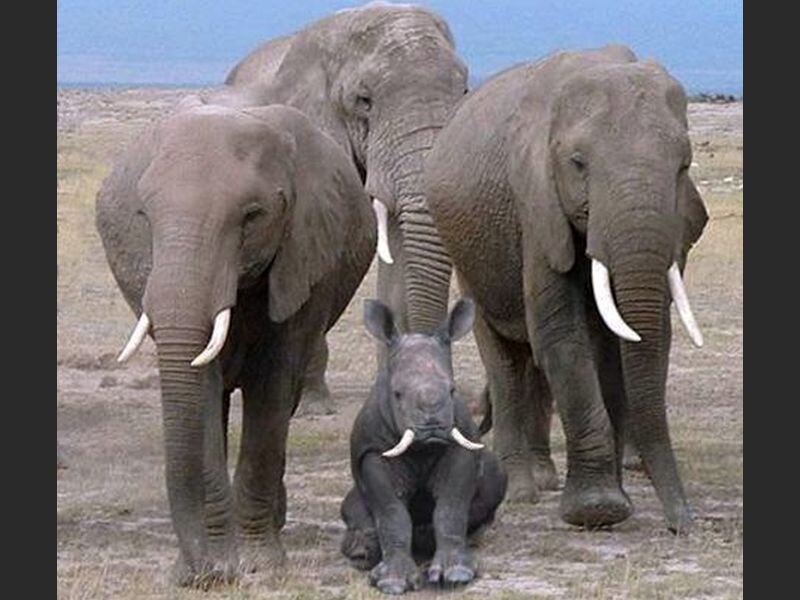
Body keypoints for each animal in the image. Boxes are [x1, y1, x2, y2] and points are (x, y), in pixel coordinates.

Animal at [95, 98, 376, 586]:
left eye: (252, 217)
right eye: (144, 218)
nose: (198, 573)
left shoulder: (302, 257)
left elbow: (271, 388)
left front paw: (260, 566)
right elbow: (202, 390)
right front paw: (220, 566)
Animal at [340, 299, 507, 594]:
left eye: (452, 391)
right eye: (397, 394)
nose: (432, 428)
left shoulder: (460, 446)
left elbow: (450, 507)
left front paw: (457, 574)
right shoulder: (372, 451)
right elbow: (391, 512)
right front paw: (392, 582)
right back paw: (361, 553)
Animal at [424, 45, 708, 534]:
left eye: (684, 166)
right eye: (578, 164)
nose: (683, 525)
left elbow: (624, 340)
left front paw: (616, 500)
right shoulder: (536, 205)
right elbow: (562, 334)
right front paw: (598, 510)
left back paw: (543, 478)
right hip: (467, 254)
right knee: (505, 358)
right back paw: (520, 490)